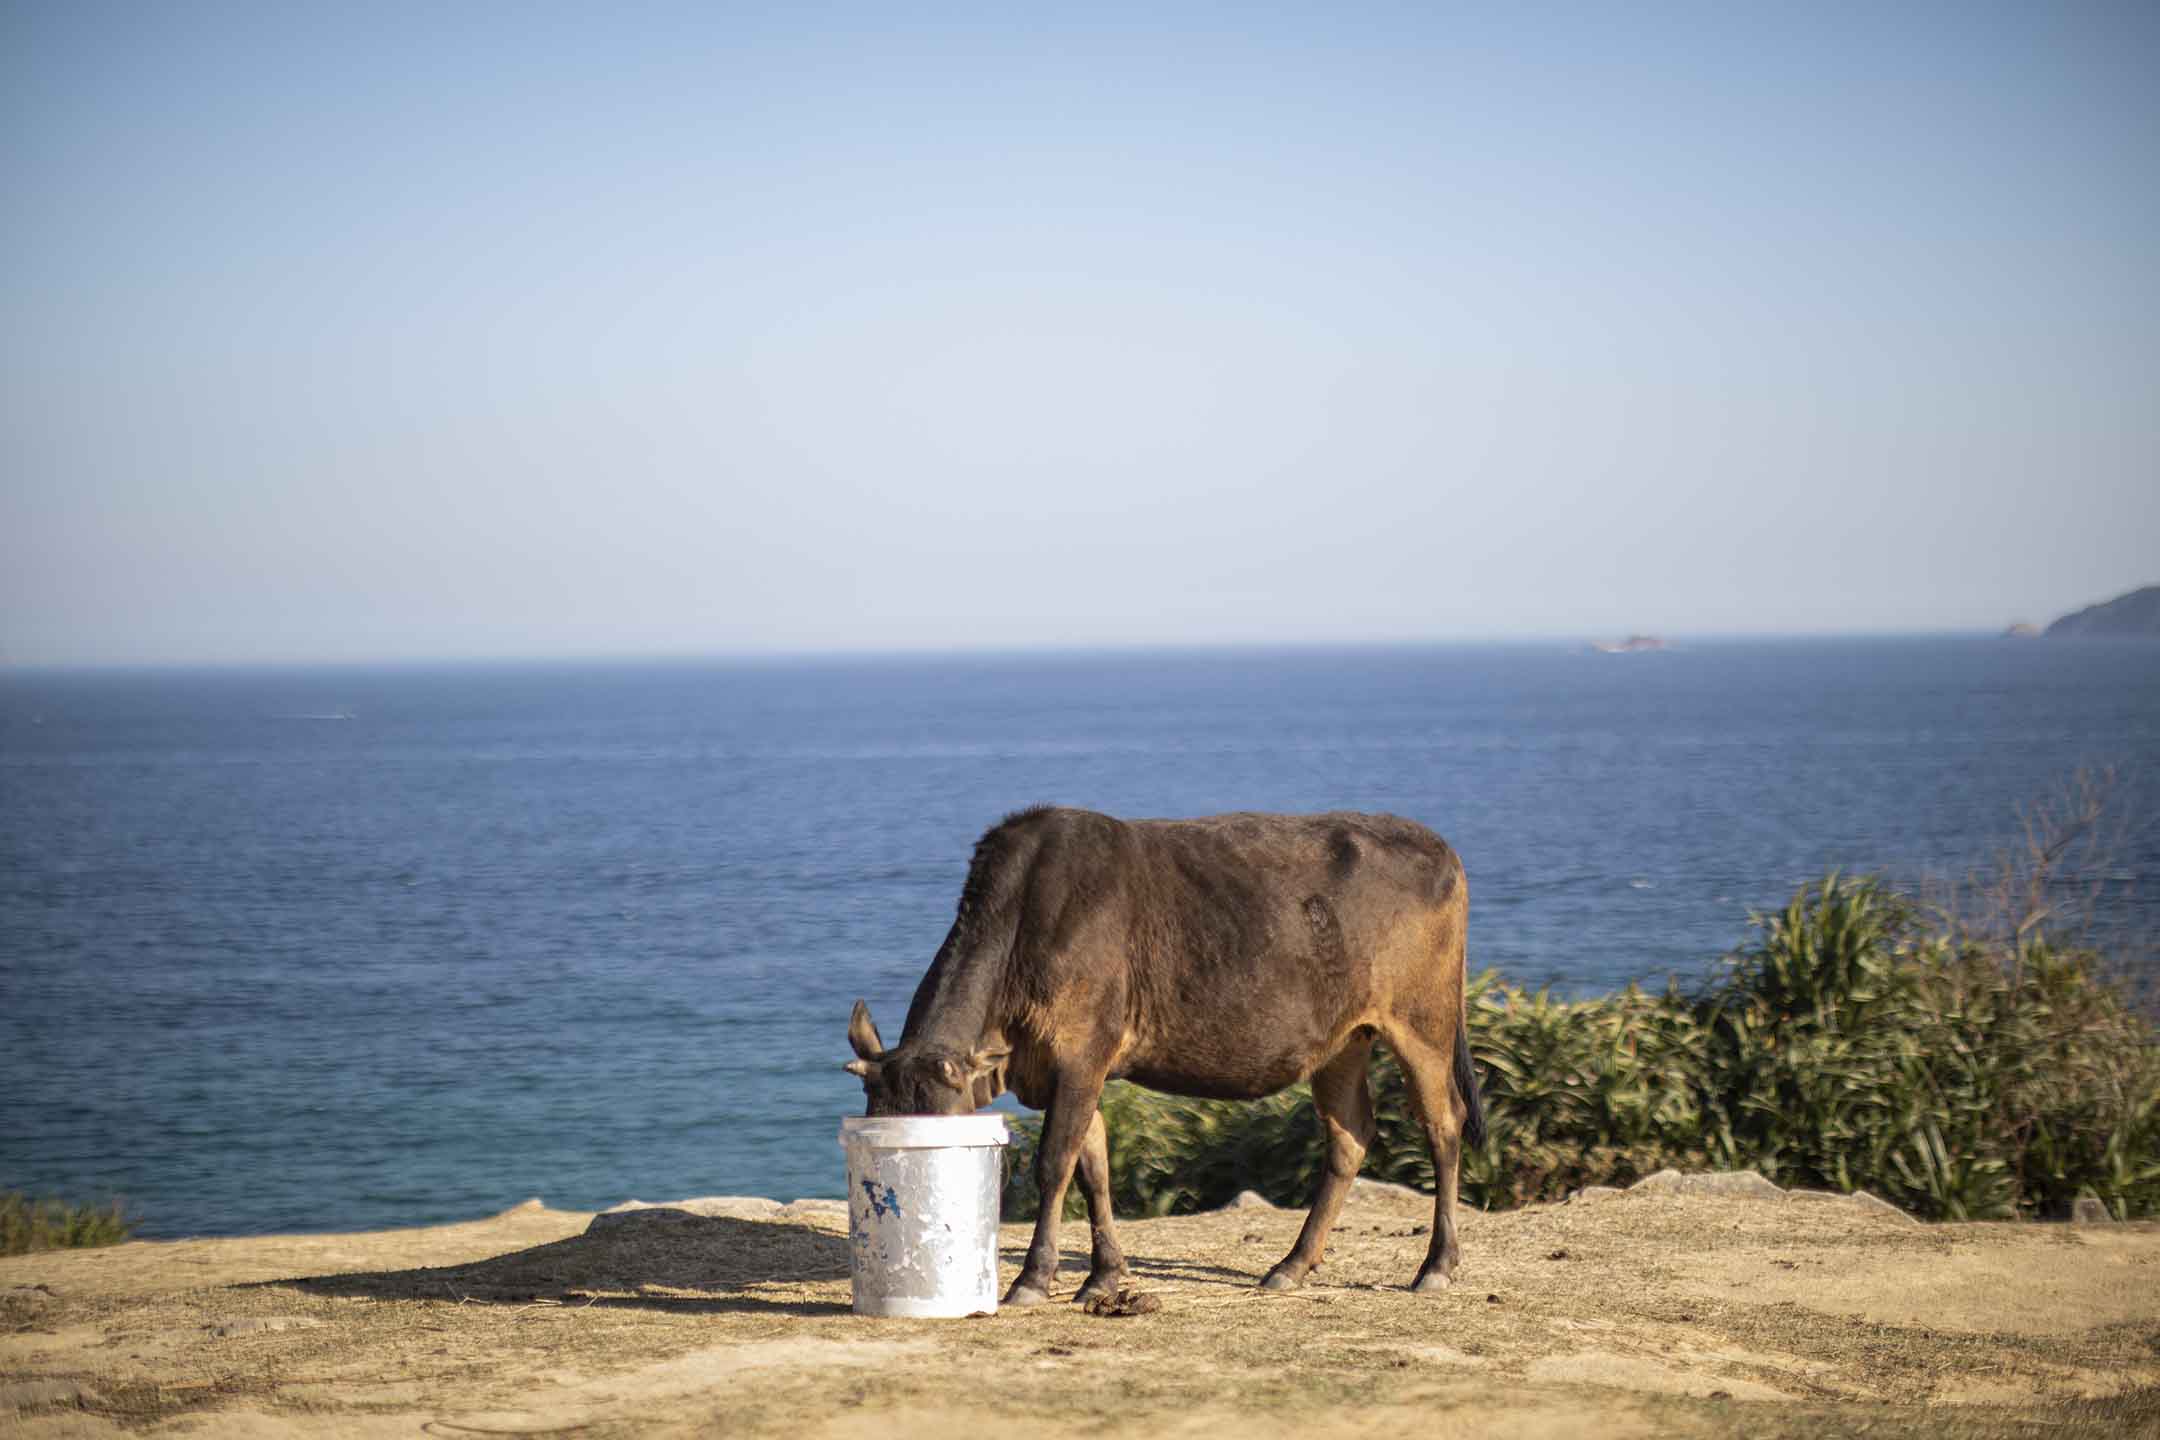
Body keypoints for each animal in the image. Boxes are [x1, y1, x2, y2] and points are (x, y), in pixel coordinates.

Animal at [842, 807, 1486, 1312]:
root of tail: (1438, 845)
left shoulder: (1081, 1052)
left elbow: (1055, 1164)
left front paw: (1033, 1279)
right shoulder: (1068, 1068)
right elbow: (1094, 1166)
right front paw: (1104, 1276)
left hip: (1422, 1023)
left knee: (1443, 1124)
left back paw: (1436, 1266)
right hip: (1344, 1040)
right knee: (1349, 1136)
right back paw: (1292, 1265)